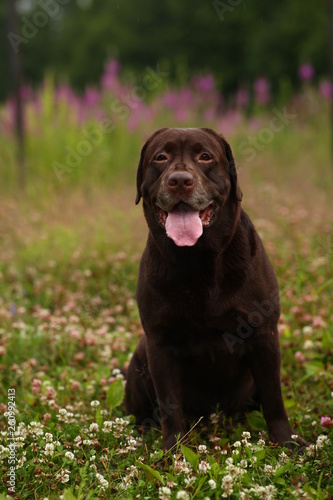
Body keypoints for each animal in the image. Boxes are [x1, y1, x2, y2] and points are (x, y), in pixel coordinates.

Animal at [125, 127, 306, 452]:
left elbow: (274, 399)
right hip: (140, 357)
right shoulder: (160, 343)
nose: (180, 180)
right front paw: (173, 451)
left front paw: (287, 441)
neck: (197, 261)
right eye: (161, 157)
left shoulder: (264, 335)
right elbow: (170, 406)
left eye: (205, 156)